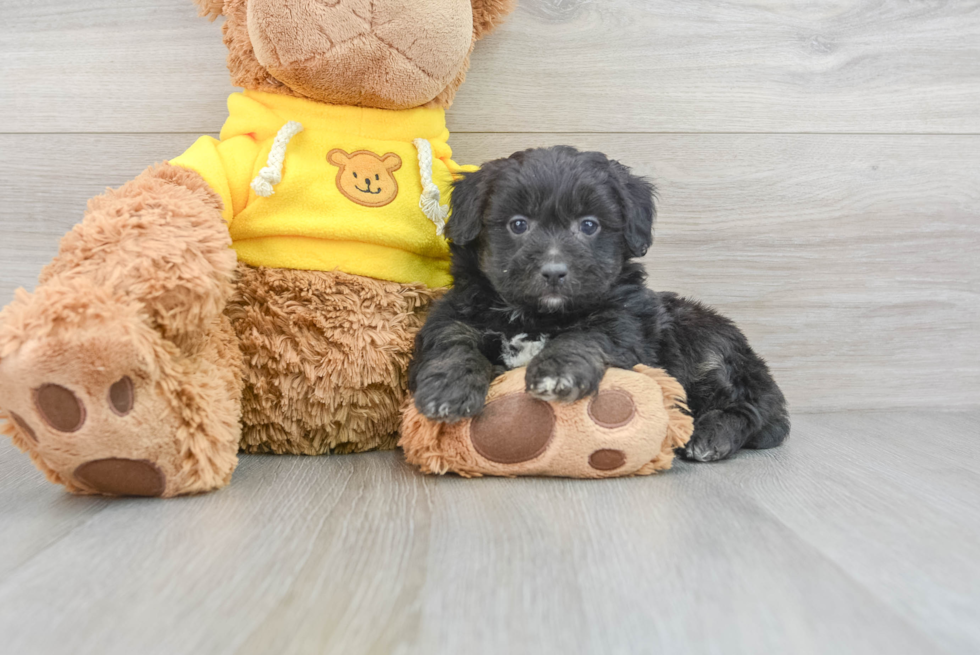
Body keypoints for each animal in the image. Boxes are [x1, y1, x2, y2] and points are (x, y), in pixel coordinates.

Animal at [408, 146, 788, 462]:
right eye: (518, 224)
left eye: (589, 225)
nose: (554, 272)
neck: (537, 316)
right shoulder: (454, 313)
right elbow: (454, 342)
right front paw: (448, 388)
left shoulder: (624, 322)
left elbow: (585, 336)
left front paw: (557, 371)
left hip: (704, 346)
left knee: (752, 410)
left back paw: (711, 436)